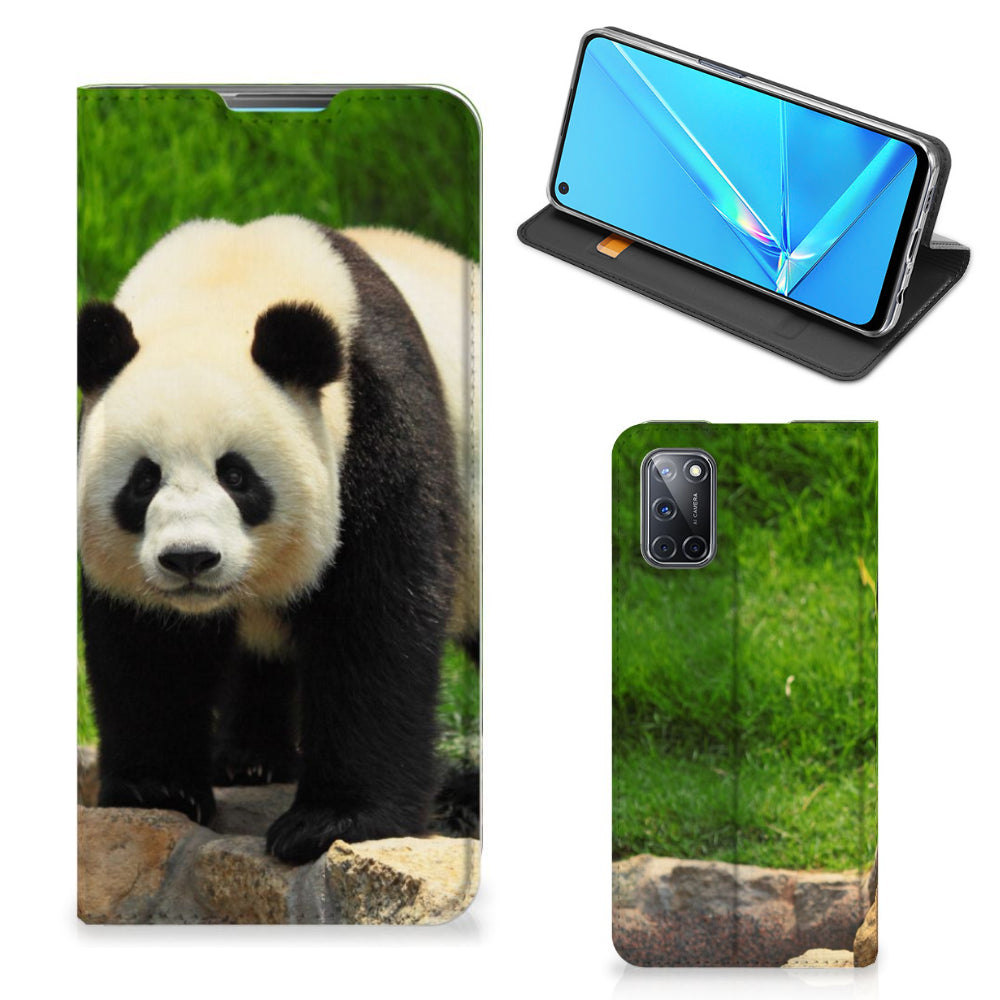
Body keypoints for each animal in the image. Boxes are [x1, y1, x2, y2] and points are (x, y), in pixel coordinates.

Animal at [77, 215, 479, 864]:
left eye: (237, 476)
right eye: (143, 480)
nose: (190, 559)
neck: (224, 283)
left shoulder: (378, 421)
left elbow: (375, 619)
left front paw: (333, 822)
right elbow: (147, 642)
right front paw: (156, 789)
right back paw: (249, 761)